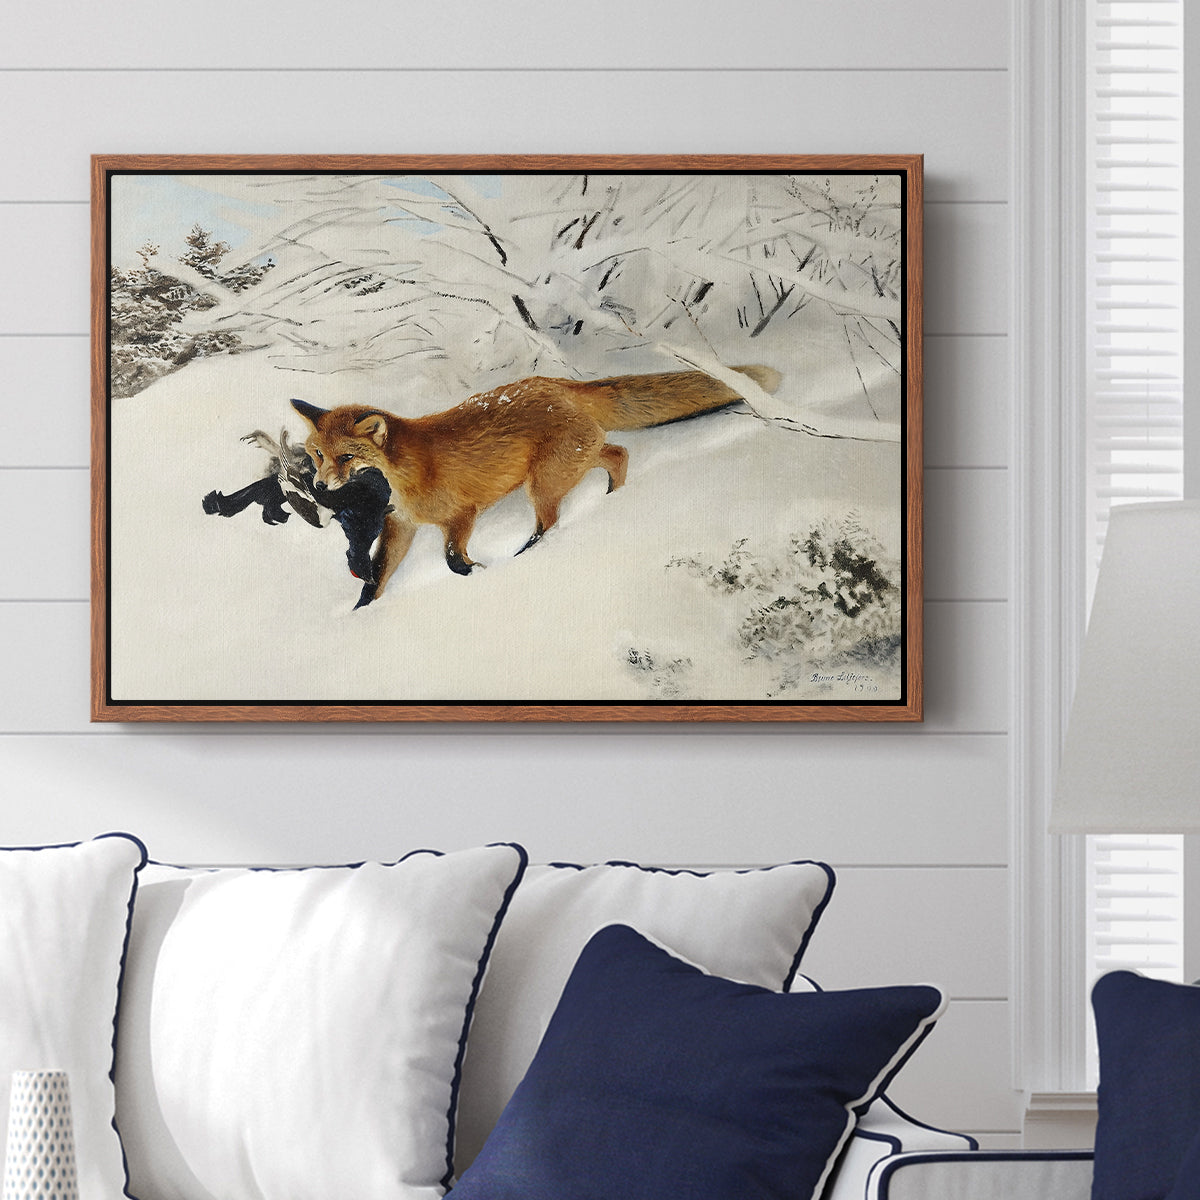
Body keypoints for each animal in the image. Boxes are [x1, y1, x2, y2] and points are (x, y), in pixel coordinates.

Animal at [291, 365, 781, 603]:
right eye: (317, 455)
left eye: (346, 458)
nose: (320, 486)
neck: (406, 472)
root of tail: (558, 383)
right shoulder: (401, 525)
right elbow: (376, 578)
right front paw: (361, 613)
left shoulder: (461, 514)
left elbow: (451, 559)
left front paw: (478, 572)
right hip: (570, 464)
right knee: (618, 453)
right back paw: (613, 498)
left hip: (543, 484)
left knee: (551, 522)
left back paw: (530, 553)